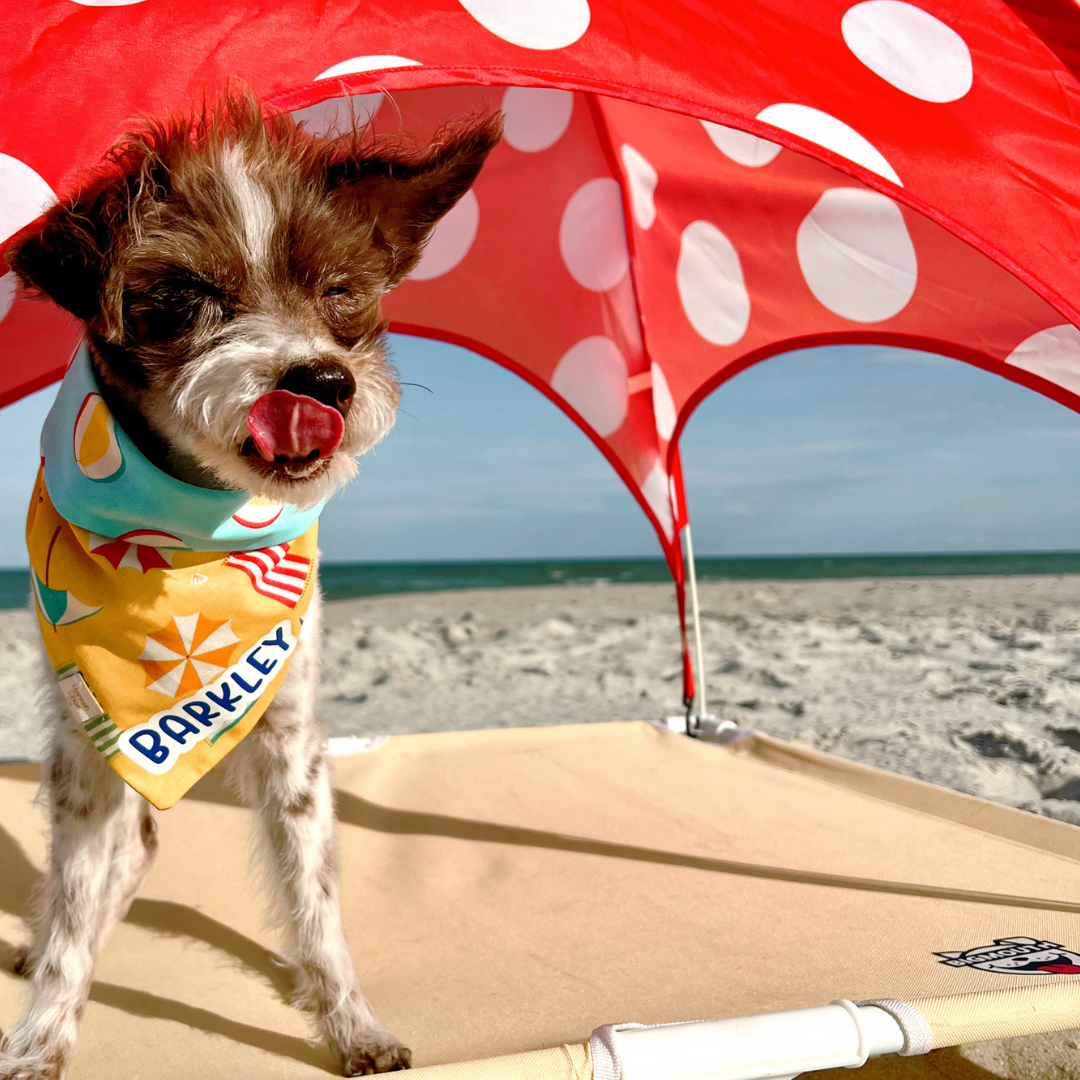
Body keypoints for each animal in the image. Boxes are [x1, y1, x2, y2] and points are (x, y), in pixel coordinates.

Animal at [0, 88, 501, 1075]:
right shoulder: (90, 746)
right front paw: (43, 1034)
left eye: (340, 291)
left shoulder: (291, 735)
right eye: (191, 295)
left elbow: (316, 899)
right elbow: (74, 905)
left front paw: (349, 1021)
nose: (324, 381)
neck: (183, 549)